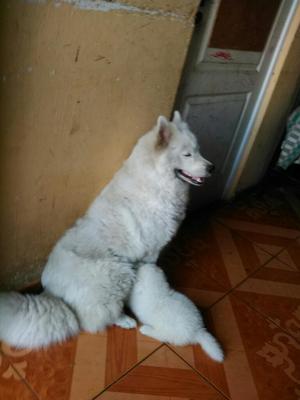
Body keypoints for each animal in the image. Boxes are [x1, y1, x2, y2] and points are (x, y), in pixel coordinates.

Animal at [0, 111, 213, 348]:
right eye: (187, 154)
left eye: (198, 150)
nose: (212, 167)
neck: (155, 182)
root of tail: (50, 292)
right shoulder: (151, 252)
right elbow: (151, 269)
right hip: (117, 270)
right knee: (92, 320)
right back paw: (125, 319)